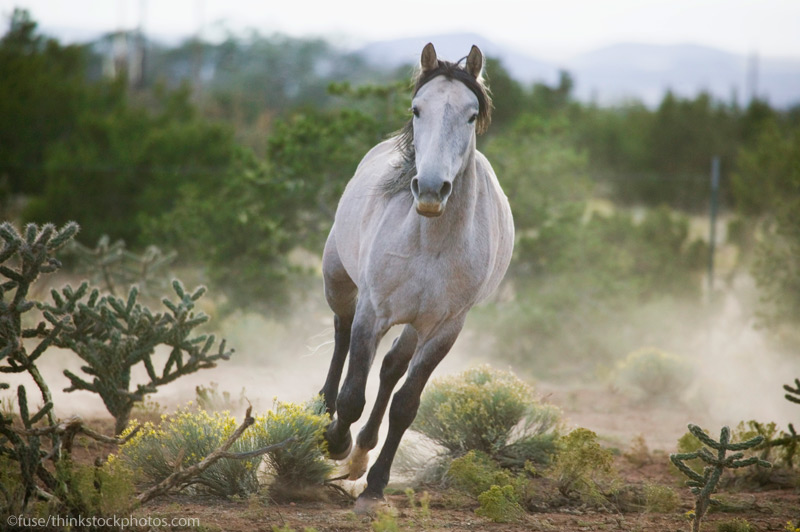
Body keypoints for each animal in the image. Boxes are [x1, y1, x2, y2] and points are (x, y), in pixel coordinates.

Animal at [318, 42, 512, 512]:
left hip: (413, 323)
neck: (430, 239)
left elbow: (405, 404)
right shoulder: (373, 312)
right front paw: (335, 442)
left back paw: (362, 453)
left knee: (392, 367)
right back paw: (325, 414)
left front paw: (374, 485)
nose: (429, 190)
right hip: (339, 280)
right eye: (417, 109)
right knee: (340, 334)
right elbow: (353, 394)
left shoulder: (444, 328)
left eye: (470, 114)